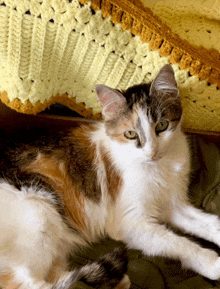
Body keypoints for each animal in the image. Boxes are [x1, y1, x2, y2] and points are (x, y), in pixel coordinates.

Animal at [0, 63, 220, 288]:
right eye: (130, 134)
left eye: (162, 125)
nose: (151, 151)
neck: (159, 167)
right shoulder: (130, 222)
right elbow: (175, 242)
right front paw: (211, 262)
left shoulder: (174, 205)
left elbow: (208, 222)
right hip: (40, 209)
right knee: (24, 281)